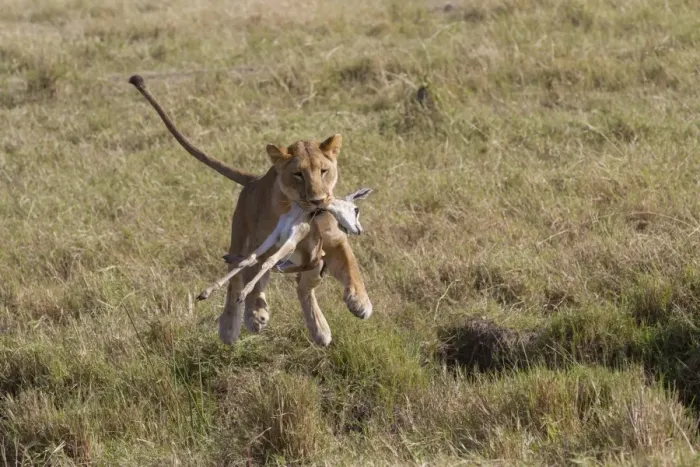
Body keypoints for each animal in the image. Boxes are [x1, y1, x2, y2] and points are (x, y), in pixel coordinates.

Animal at [128, 75, 372, 346]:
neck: (304, 213)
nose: (318, 200)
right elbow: (255, 276)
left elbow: (351, 266)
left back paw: (319, 330)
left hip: (311, 264)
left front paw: (360, 302)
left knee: (300, 286)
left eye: (324, 170)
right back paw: (231, 325)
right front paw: (255, 314)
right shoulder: (265, 242)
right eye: (298, 174)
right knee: (240, 275)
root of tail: (254, 180)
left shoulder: (334, 239)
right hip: (244, 238)